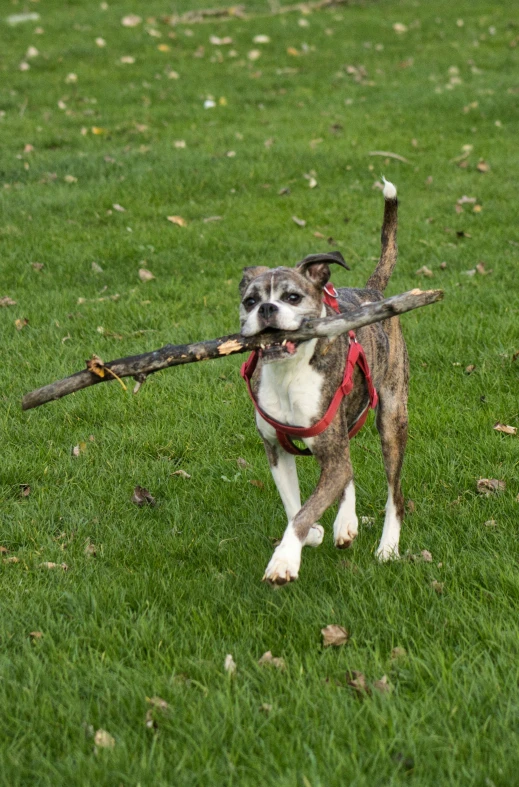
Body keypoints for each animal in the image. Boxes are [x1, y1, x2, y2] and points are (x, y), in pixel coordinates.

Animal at [240, 180, 410, 584]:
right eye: (249, 301)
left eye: (292, 297)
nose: (266, 309)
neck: (288, 373)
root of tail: (373, 292)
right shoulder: (276, 450)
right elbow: (296, 506)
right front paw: (314, 533)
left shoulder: (330, 453)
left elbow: (306, 509)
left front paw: (284, 559)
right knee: (347, 470)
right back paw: (345, 524)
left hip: (392, 419)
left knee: (393, 492)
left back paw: (388, 547)